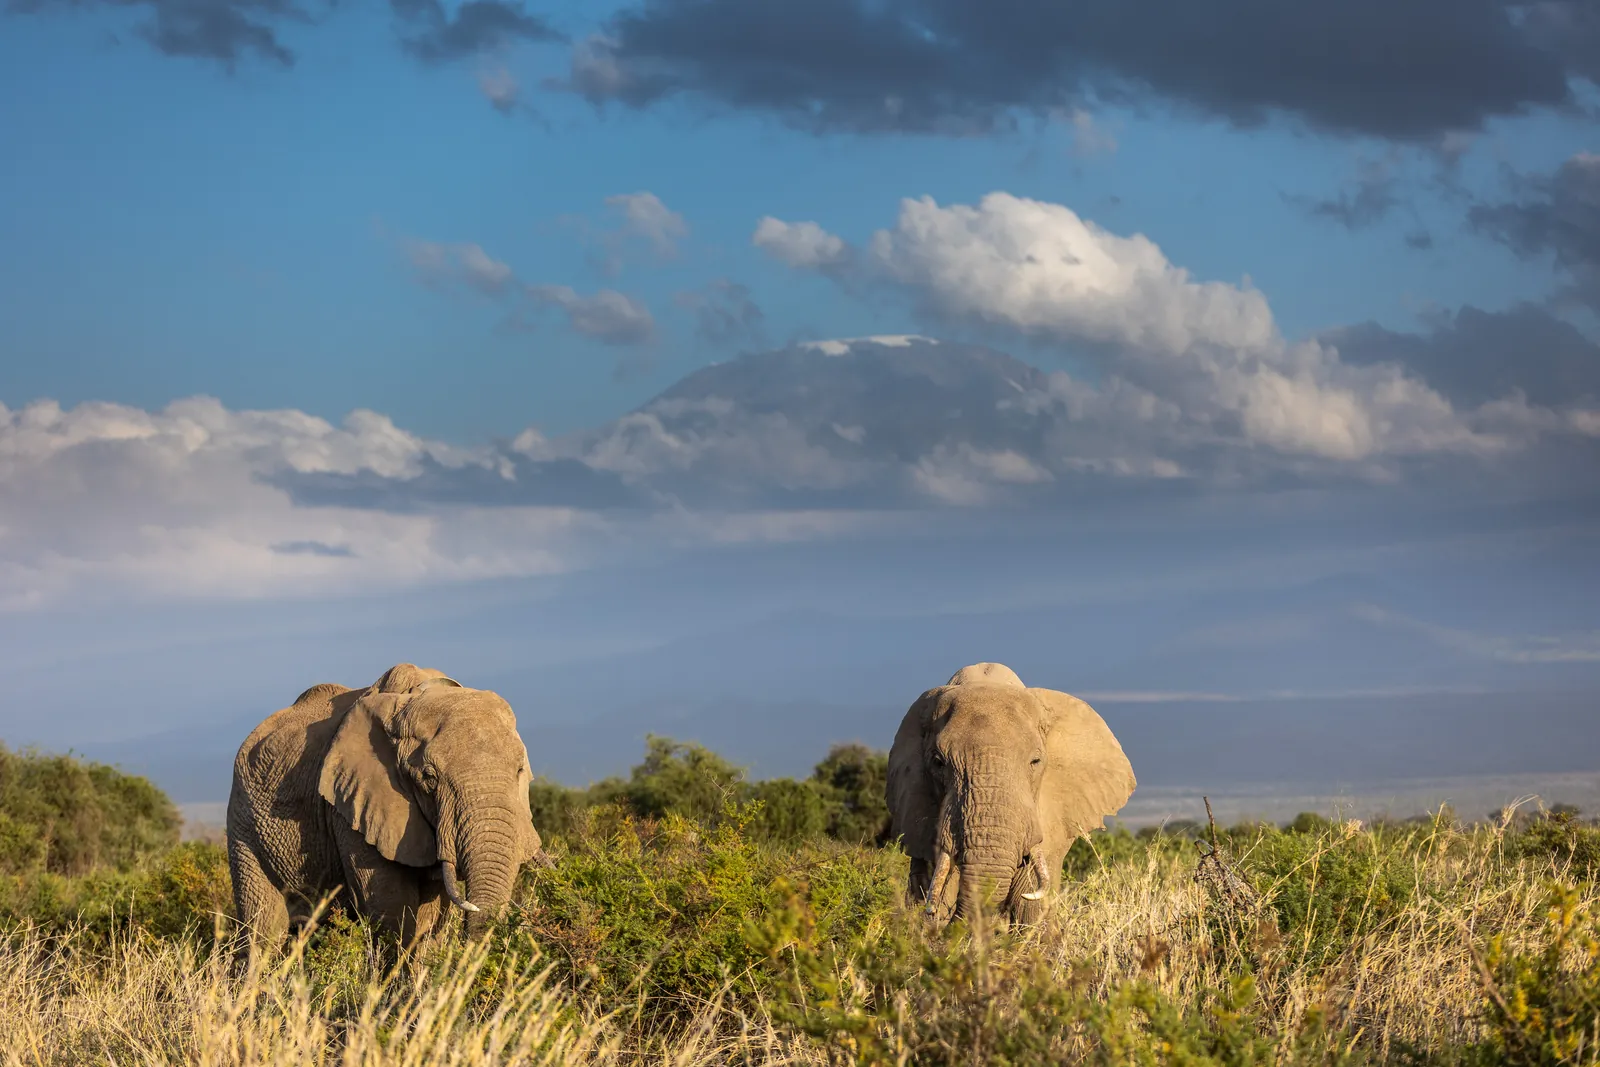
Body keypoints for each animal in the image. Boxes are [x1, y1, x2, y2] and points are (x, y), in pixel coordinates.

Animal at [225, 663, 548, 957]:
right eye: (429, 778)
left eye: (520, 771)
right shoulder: (350, 807)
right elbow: (390, 905)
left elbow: (430, 914)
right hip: (243, 823)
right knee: (261, 932)